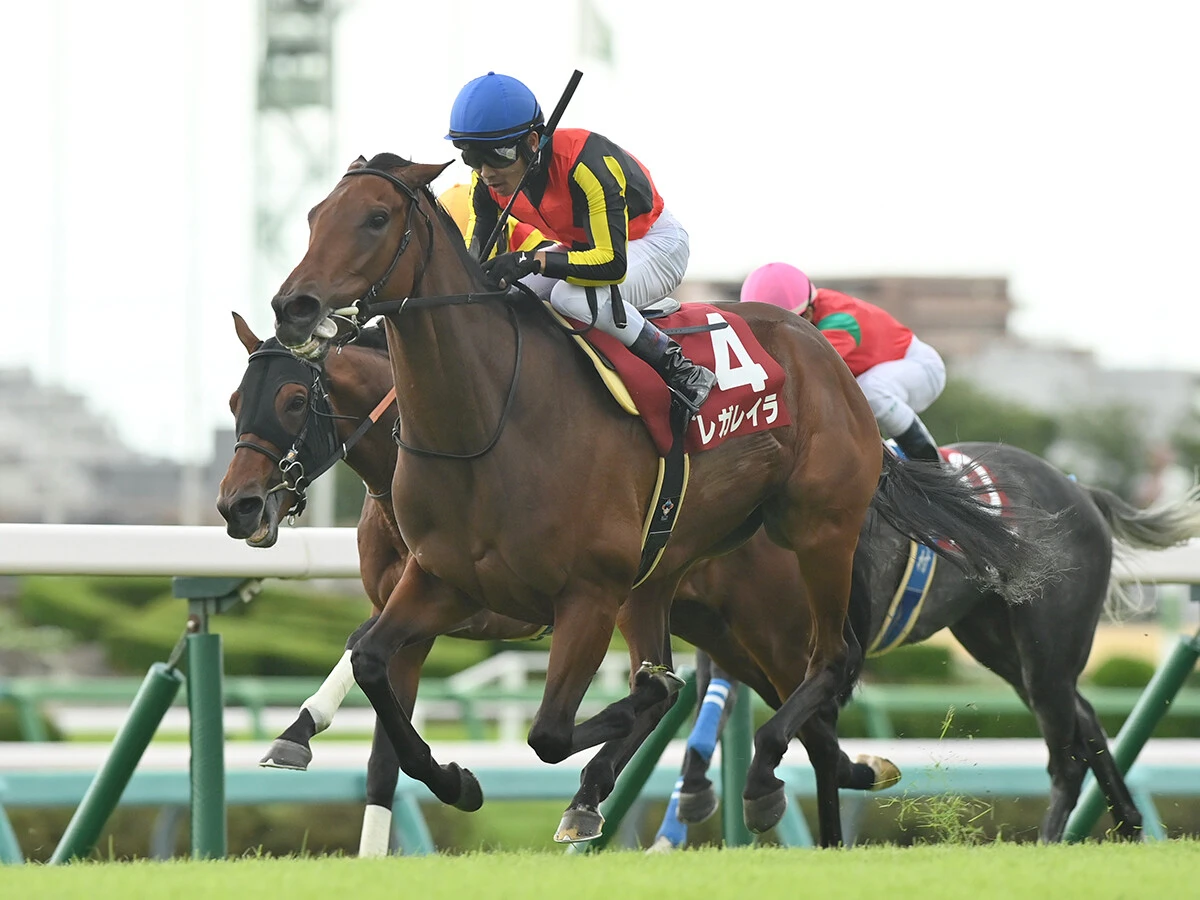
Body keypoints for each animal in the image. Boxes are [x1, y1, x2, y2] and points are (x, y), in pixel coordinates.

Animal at [265, 151, 1058, 840]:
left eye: (374, 218)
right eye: (312, 215)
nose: (292, 304)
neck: (489, 420)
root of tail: (820, 354)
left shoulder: (585, 595)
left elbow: (551, 731)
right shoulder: (440, 580)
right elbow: (370, 661)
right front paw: (452, 777)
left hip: (816, 536)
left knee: (828, 666)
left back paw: (763, 775)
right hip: (672, 575)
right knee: (779, 696)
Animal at [650, 446, 1200, 847]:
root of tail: (1079, 490)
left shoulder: (804, 653)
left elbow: (810, 744)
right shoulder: (738, 650)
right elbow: (742, 722)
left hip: (1046, 648)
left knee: (1065, 754)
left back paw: (1052, 842)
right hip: (999, 645)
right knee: (1083, 720)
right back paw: (1128, 825)